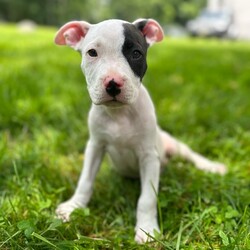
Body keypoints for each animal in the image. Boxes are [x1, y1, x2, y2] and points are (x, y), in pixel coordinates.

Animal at [54, 18, 227, 243]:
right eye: (92, 53)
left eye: (136, 53)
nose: (113, 83)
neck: (119, 114)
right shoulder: (95, 146)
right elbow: (85, 181)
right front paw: (73, 207)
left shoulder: (149, 157)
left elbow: (147, 199)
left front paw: (146, 230)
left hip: (173, 146)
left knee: (192, 156)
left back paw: (212, 167)